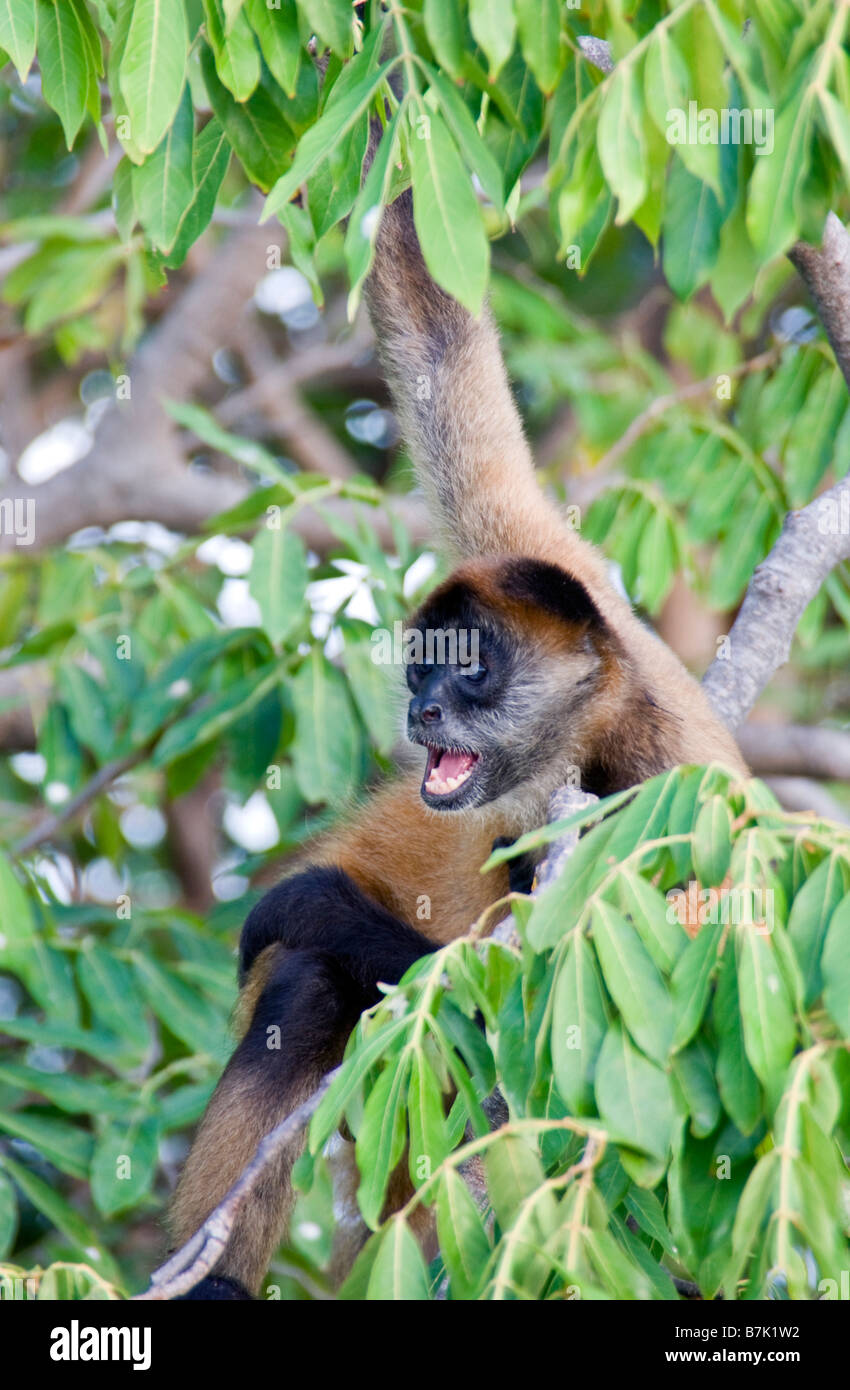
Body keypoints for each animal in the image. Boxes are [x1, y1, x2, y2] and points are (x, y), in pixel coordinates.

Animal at [167, 135, 744, 1295]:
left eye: (467, 673)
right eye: (419, 670)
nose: (424, 707)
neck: (598, 724)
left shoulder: (667, 791)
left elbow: (587, 1045)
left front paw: (307, 899)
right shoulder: (533, 547)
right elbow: (438, 334)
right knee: (308, 995)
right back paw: (214, 1276)